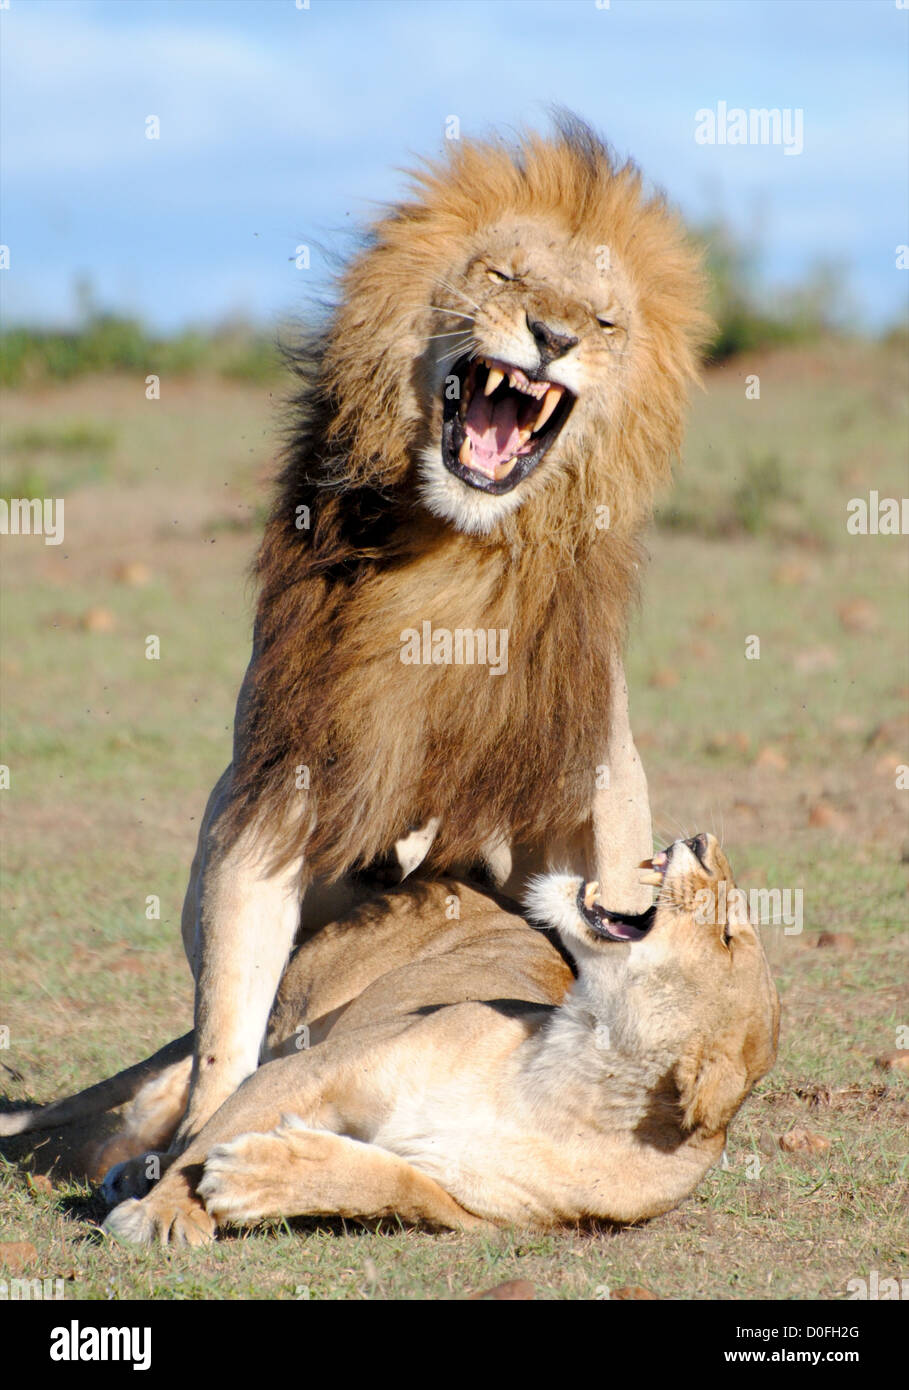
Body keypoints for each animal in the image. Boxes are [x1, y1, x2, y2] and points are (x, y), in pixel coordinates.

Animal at [65, 833, 775, 1244]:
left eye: (727, 936)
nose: (702, 839)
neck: (575, 1082)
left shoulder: (476, 1216)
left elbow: (385, 1185)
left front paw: (253, 1176)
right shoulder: (312, 1070)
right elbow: (208, 1138)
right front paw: (162, 1215)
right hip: (298, 1008)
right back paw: (134, 1163)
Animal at [143, 116, 711, 1151]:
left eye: (604, 322)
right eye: (503, 276)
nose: (553, 338)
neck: (456, 546)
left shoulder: (593, 785)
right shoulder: (276, 787)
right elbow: (228, 1019)